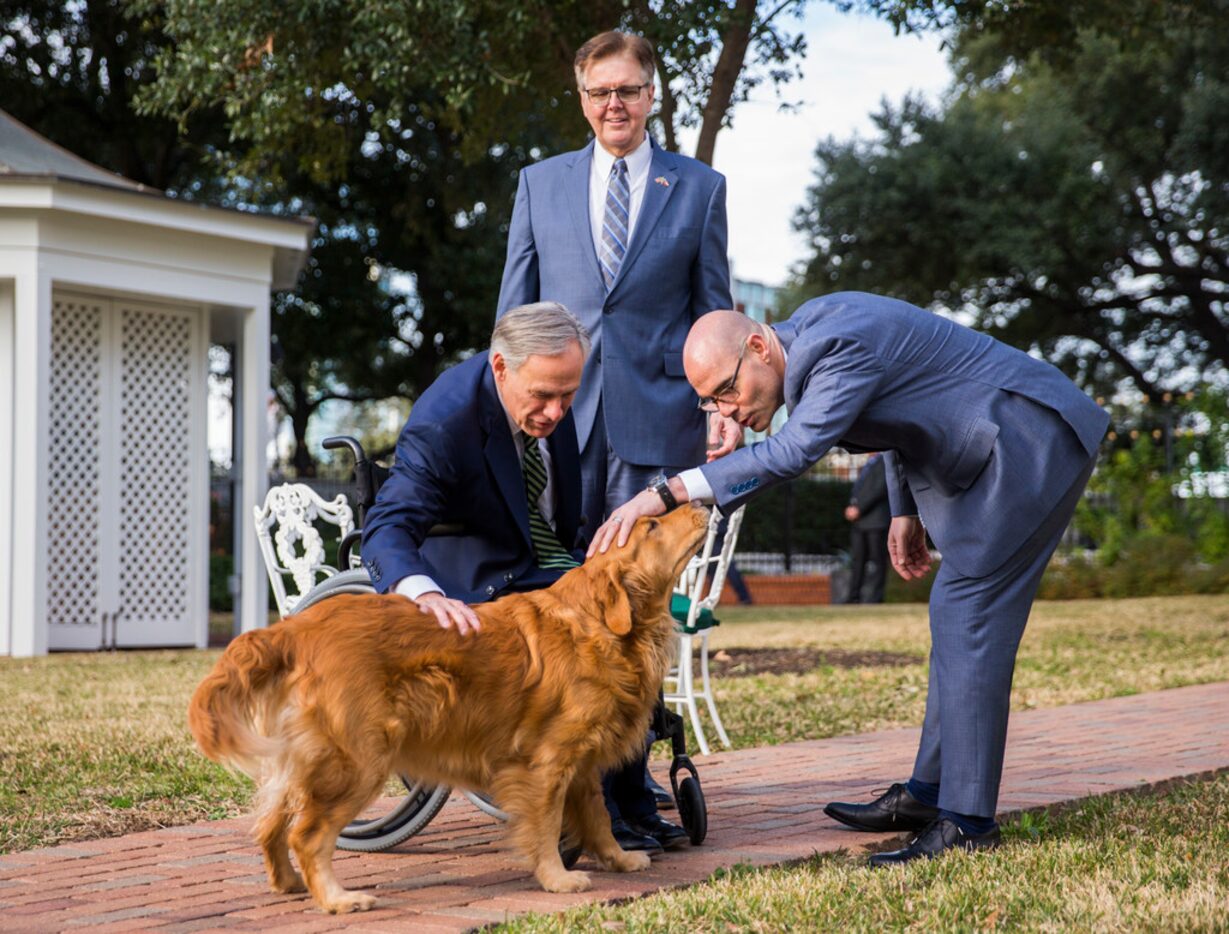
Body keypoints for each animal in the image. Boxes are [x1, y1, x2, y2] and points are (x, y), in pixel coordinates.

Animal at [191, 503, 712, 914]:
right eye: (651, 526)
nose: (700, 502)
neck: (600, 626)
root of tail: (293, 628)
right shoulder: (545, 763)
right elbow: (544, 825)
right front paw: (556, 877)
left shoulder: (581, 764)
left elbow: (600, 816)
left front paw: (618, 858)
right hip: (361, 760)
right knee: (308, 834)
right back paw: (337, 898)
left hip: (304, 759)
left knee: (271, 823)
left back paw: (289, 883)